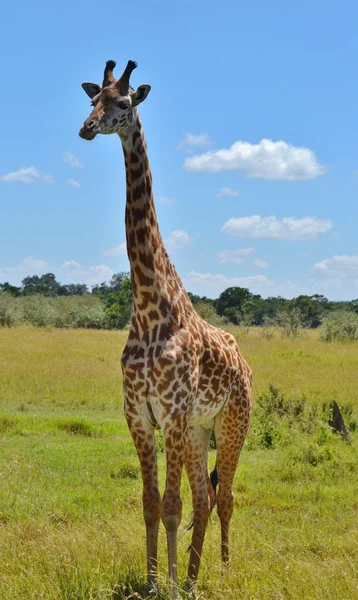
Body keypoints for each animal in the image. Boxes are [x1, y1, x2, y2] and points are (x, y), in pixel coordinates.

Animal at [79, 58, 252, 596]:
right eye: (91, 99)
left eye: (124, 101)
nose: (86, 128)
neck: (150, 309)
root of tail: (246, 365)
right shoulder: (140, 415)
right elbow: (152, 505)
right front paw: (157, 582)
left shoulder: (171, 414)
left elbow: (172, 507)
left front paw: (169, 585)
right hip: (200, 429)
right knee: (206, 497)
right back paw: (194, 580)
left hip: (232, 422)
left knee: (226, 496)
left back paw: (222, 572)